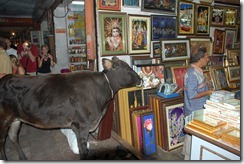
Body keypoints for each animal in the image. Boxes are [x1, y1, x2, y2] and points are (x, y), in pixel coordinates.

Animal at [0, 56, 141, 160]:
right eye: (127, 68)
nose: (140, 78)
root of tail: (5, 78)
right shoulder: (81, 126)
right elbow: (83, 150)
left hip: (16, 119)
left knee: (13, 137)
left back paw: (23, 157)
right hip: (4, 120)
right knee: (2, 141)